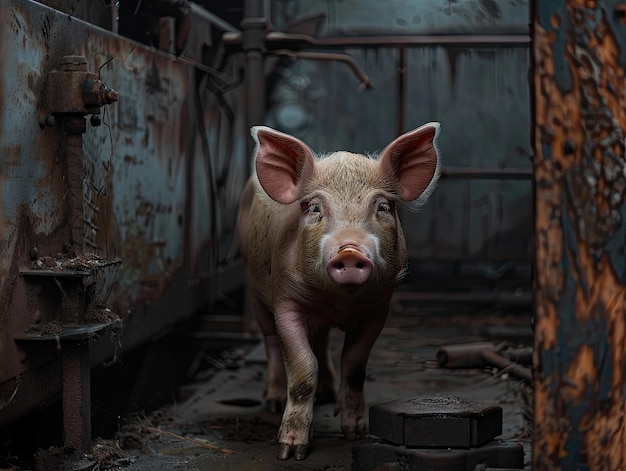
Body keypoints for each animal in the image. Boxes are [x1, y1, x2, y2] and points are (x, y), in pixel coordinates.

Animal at [236, 122, 442, 460]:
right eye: (315, 208)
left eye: (382, 207)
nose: (349, 251)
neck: (339, 302)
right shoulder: (286, 302)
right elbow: (302, 370)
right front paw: (291, 452)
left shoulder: (378, 308)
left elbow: (355, 365)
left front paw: (355, 434)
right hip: (255, 292)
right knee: (271, 343)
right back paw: (273, 401)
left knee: (321, 341)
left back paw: (327, 395)